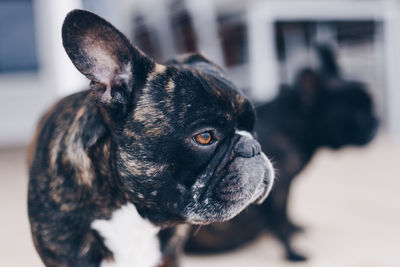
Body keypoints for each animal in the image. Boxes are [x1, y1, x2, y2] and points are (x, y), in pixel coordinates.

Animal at [184, 45, 378, 262]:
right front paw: (292, 253)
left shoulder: (286, 187)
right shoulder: (274, 192)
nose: (375, 122)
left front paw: (294, 228)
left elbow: (286, 213)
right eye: (357, 115)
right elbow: (279, 223)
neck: (294, 123)